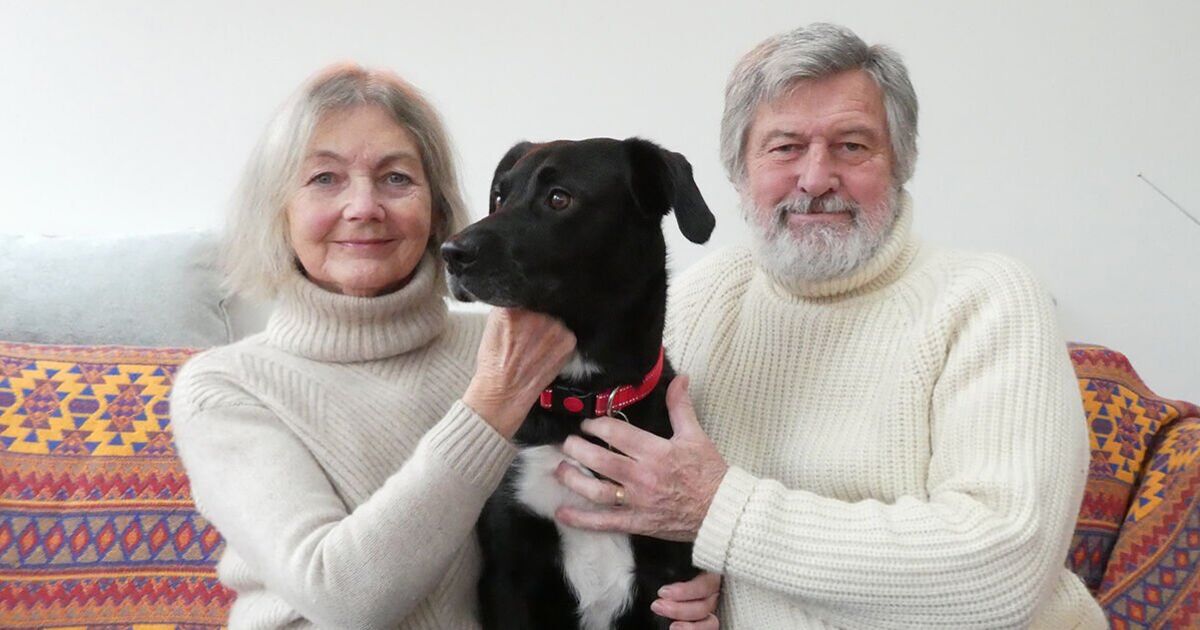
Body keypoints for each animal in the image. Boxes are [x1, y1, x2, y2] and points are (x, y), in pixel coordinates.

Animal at [446, 135, 715, 624]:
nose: (450, 253)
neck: (582, 399)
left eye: (559, 198)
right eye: (500, 196)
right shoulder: (508, 573)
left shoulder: (667, 578)